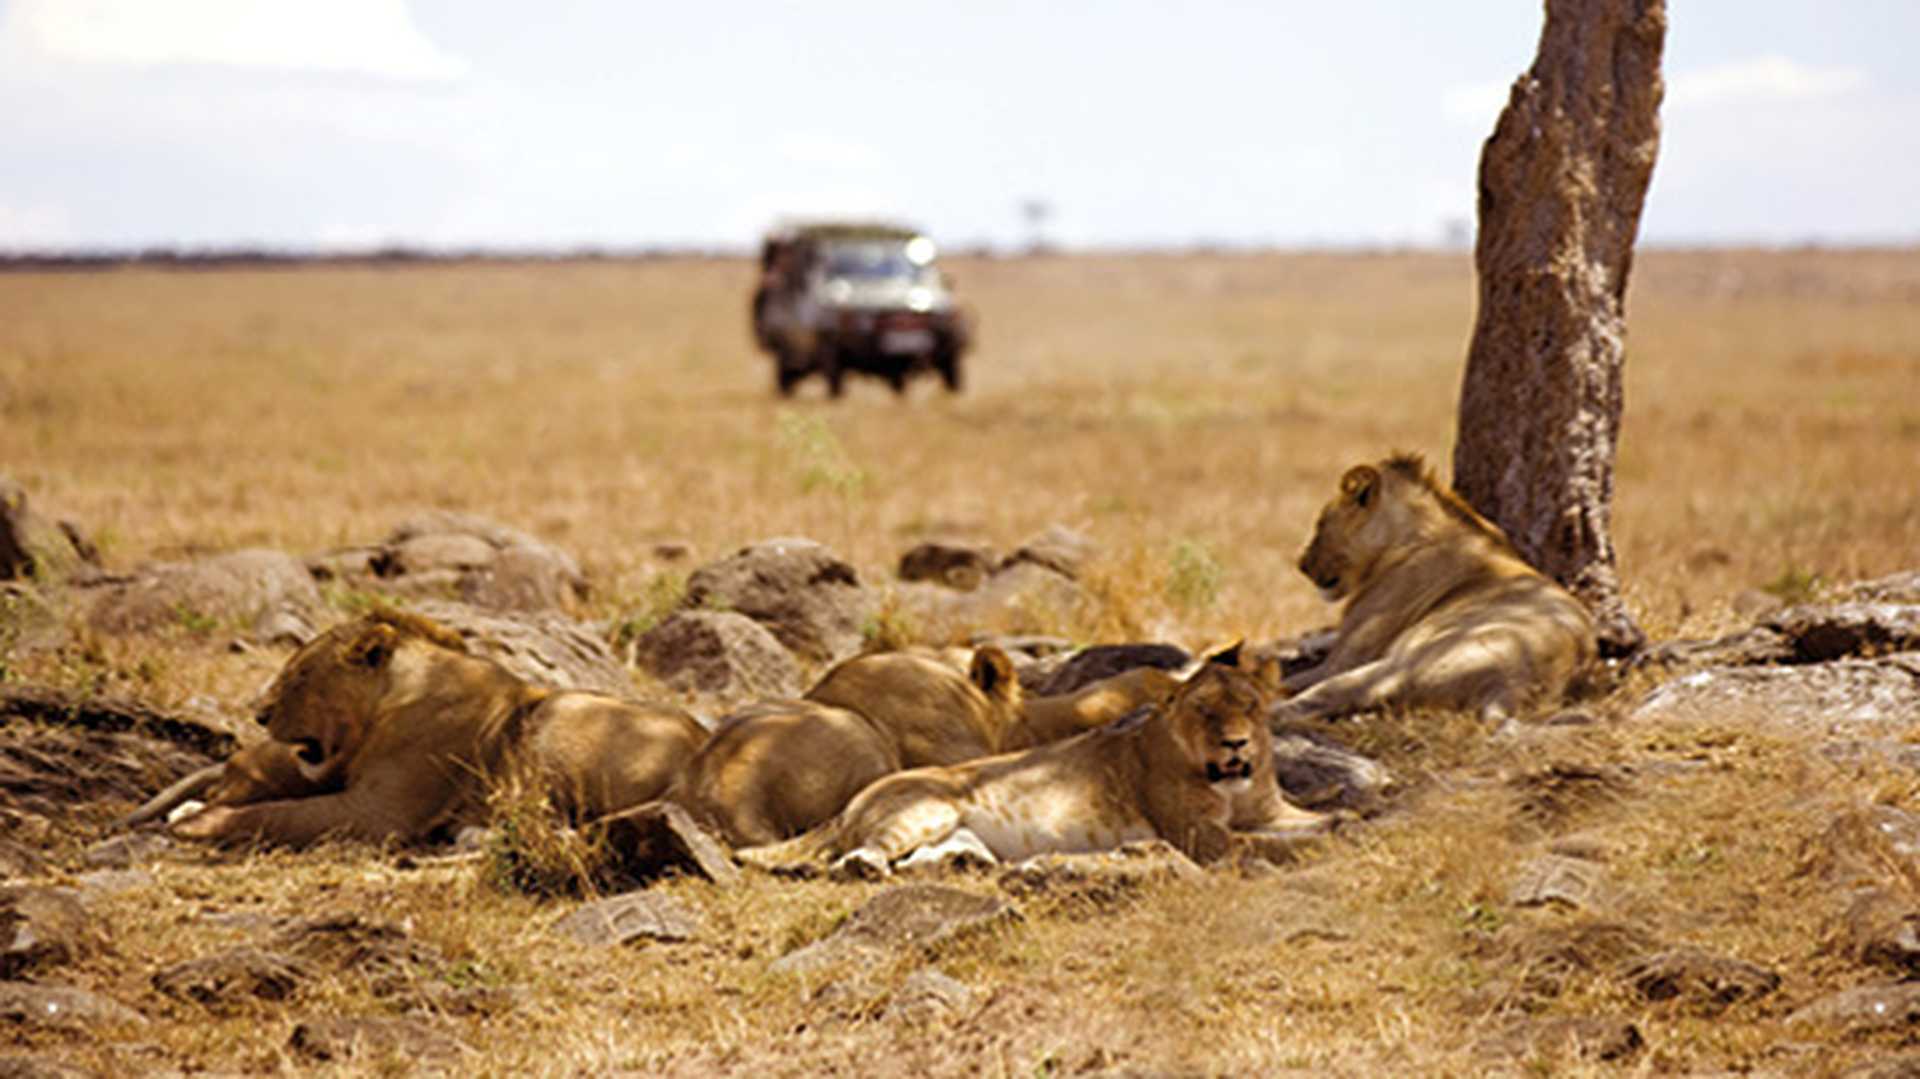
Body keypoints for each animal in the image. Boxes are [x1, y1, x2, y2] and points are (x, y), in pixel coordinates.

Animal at [167, 608, 707, 847]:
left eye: (300, 675)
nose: (259, 713)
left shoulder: (380, 813)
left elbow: (282, 814)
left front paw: (203, 822)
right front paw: (200, 805)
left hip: (561, 717)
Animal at [738, 645, 1327, 877]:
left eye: (1250, 706)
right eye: (1204, 711)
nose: (1236, 744)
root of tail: (853, 802)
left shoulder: (1273, 810)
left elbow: (1316, 820)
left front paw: (1342, 822)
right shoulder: (1197, 834)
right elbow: (1264, 845)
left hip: (950, 825)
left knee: (925, 857)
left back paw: (965, 863)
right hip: (926, 807)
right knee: (864, 852)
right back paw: (867, 865)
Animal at [1276, 453, 1597, 724]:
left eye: (1320, 523)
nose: (1301, 564)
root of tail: (1511, 690)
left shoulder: (1346, 658)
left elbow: (1289, 679)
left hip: (1398, 665)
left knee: (1319, 700)